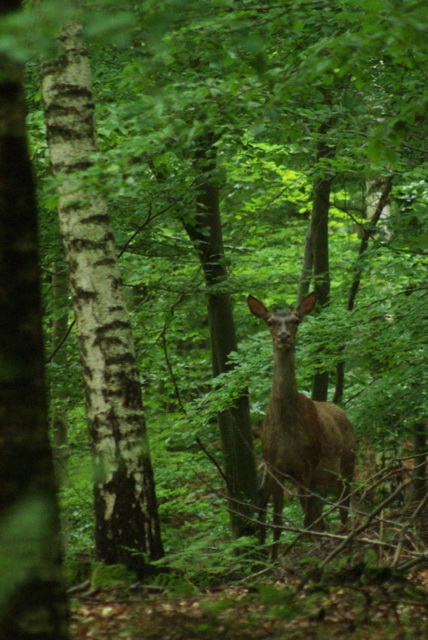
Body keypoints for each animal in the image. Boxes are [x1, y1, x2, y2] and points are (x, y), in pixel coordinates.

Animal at [246, 292, 356, 556]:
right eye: (270, 321)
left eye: (296, 321)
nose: (284, 336)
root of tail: (343, 412)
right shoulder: (275, 467)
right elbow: (277, 521)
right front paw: (273, 560)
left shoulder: (308, 463)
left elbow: (308, 519)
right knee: (322, 510)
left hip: (348, 461)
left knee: (343, 506)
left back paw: (344, 539)